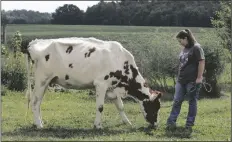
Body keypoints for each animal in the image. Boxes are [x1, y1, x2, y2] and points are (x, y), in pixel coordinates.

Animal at [23, 37, 161, 129]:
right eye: (155, 107)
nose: (155, 125)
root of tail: (34, 42)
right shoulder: (101, 84)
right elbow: (100, 107)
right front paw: (97, 126)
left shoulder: (112, 87)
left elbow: (120, 106)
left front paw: (127, 122)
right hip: (41, 80)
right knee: (35, 101)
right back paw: (39, 125)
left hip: (46, 82)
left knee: (38, 103)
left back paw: (39, 122)